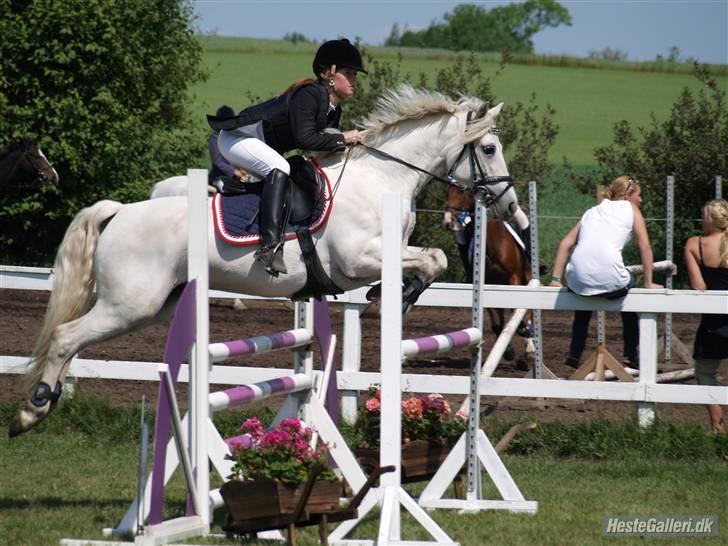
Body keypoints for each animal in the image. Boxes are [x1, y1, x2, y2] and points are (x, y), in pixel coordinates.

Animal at [8, 86, 520, 434]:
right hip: (130, 304)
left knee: (73, 339)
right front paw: (393, 296)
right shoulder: (357, 260)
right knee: (65, 337)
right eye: (489, 149)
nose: (510, 206)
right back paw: (32, 410)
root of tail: (118, 212)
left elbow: (433, 260)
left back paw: (44, 403)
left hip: (153, 304)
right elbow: (433, 259)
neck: (382, 179)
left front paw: (397, 295)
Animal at [440, 184, 532, 366]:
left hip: (527, 277)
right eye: (448, 191)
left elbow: (517, 310)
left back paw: (530, 347)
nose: (448, 221)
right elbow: (496, 323)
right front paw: (508, 350)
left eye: (463, 191)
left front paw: (523, 330)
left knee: (529, 310)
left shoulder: (514, 278)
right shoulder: (487, 284)